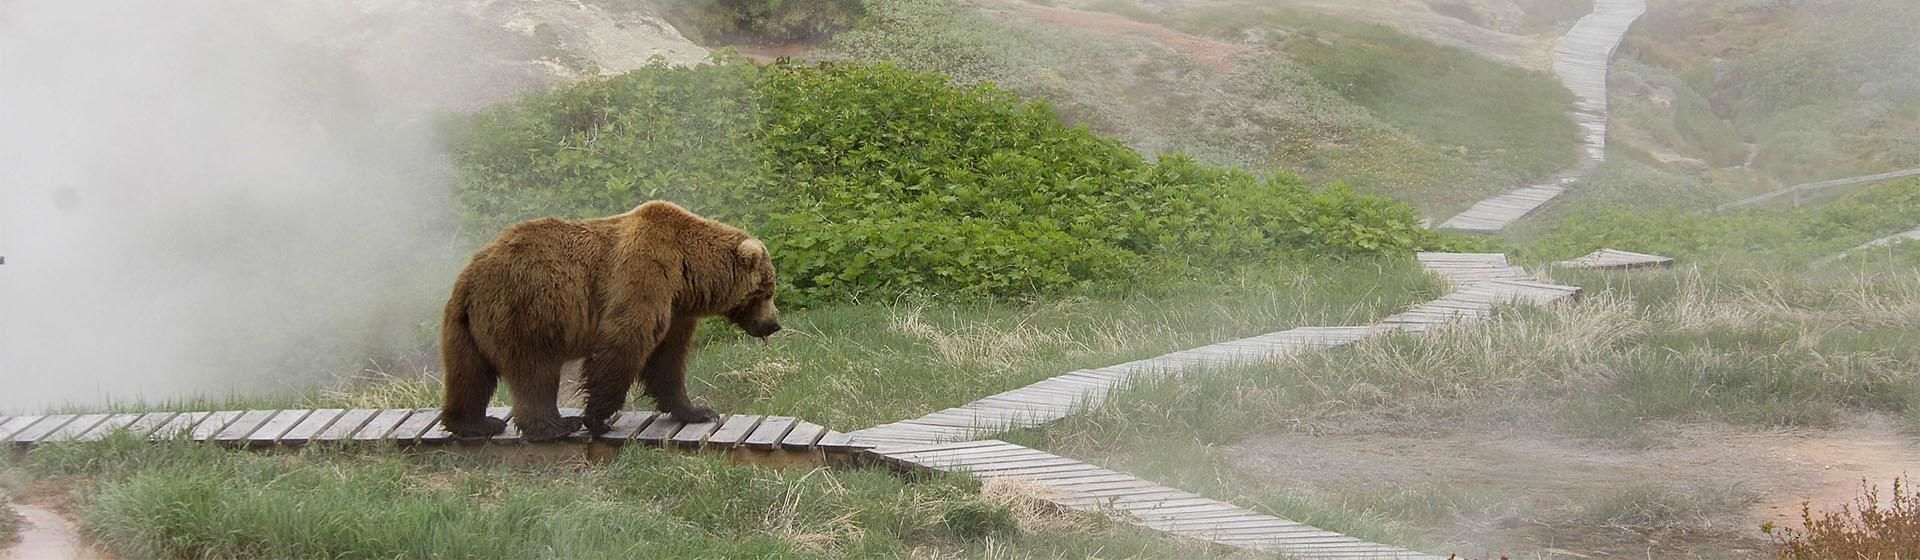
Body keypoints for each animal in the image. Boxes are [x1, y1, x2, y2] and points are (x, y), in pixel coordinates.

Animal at [439, 201, 779, 441]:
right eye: (766, 291)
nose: (774, 324)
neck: (687, 273)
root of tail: (470, 277)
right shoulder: (645, 272)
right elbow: (624, 340)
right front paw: (596, 417)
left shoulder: (676, 310)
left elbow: (667, 360)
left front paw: (697, 411)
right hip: (528, 309)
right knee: (534, 370)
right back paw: (556, 424)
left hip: (465, 326)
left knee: (469, 373)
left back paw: (475, 423)